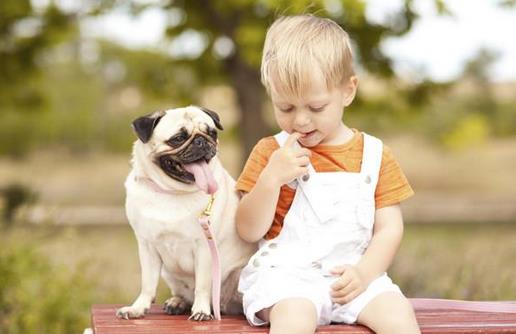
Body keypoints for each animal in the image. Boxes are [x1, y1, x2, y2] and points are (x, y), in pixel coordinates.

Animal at [116, 105, 255, 320]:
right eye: (178, 138)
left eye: (212, 133)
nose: (202, 141)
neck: (171, 192)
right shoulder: (146, 246)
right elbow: (147, 284)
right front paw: (138, 308)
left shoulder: (204, 247)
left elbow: (203, 285)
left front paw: (201, 311)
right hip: (168, 273)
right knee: (183, 293)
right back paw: (178, 302)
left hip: (237, 275)